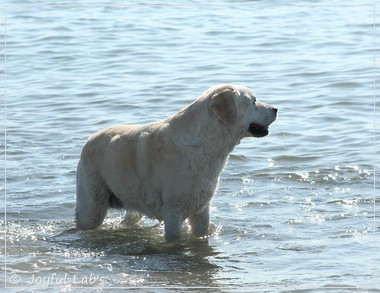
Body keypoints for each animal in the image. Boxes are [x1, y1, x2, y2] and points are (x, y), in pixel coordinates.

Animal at [75, 84, 276, 240]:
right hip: (92, 206)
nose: (276, 108)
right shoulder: (173, 212)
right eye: (254, 101)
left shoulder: (201, 211)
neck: (205, 143)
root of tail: (89, 139)